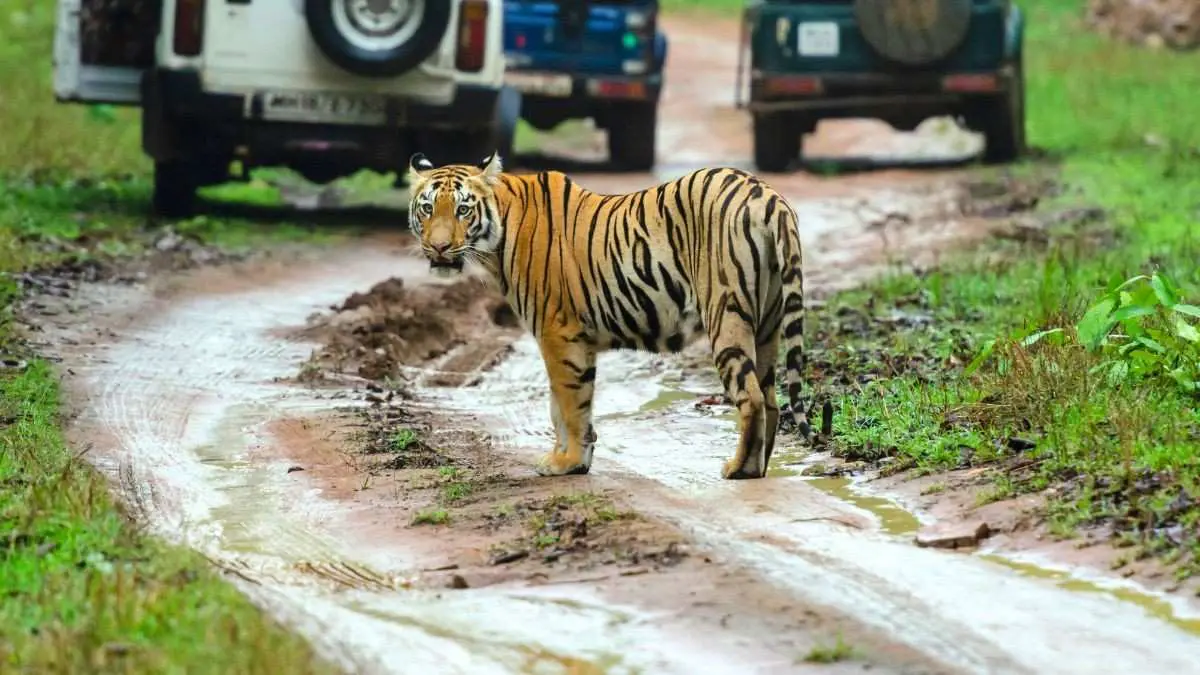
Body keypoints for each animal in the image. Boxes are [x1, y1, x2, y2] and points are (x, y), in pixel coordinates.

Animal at [405, 151, 814, 480]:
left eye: (463, 209)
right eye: (427, 208)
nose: (438, 247)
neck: (498, 238)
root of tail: (767, 195)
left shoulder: (558, 333)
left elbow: (569, 404)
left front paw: (567, 462)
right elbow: (563, 405)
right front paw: (571, 458)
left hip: (726, 314)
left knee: (751, 397)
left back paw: (739, 469)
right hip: (767, 324)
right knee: (771, 399)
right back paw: (760, 466)